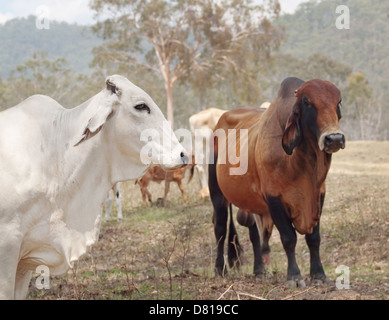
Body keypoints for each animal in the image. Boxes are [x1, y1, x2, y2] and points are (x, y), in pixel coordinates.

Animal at [208, 78, 344, 288]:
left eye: (338, 101)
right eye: (306, 102)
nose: (334, 138)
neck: (300, 161)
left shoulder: (318, 196)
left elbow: (314, 238)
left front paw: (318, 274)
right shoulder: (274, 199)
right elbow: (289, 238)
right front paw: (294, 276)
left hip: (251, 201)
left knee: (254, 234)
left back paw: (259, 271)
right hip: (217, 194)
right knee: (220, 229)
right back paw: (219, 270)